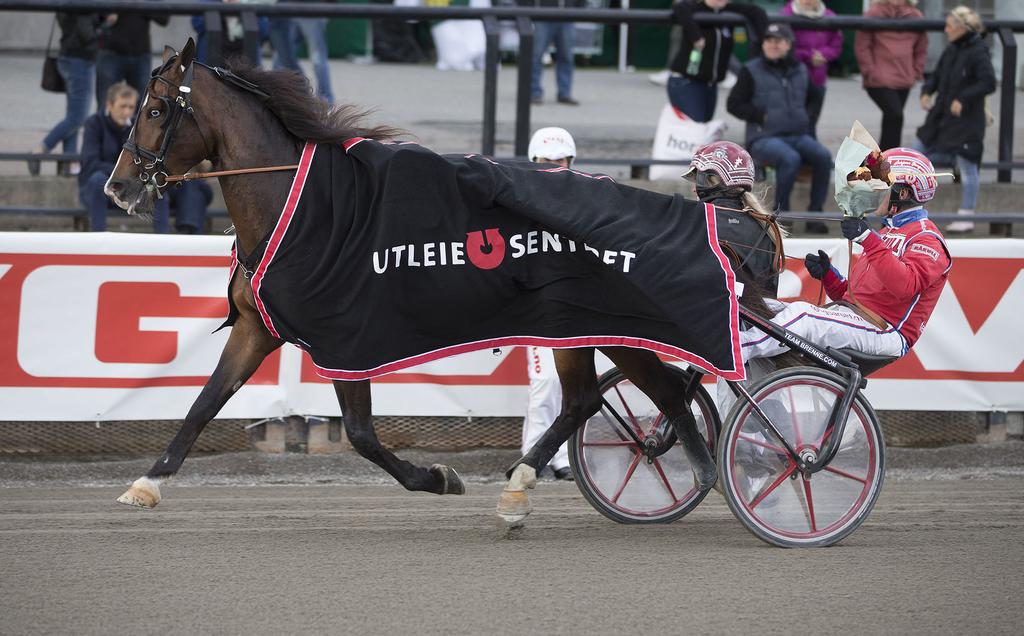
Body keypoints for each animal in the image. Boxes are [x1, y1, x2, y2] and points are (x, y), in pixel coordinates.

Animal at [108, 42, 716, 524]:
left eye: (157, 109)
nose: (118, 187)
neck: (297, 204)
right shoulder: (258, 327)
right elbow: (205, 401)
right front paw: (148, 482)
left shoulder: (344, 338)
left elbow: (360, 433)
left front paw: (437, 477)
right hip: (570, 330)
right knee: (586, 399)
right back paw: (523, 485)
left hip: (611, 324)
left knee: (662, 390)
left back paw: (700, 468)